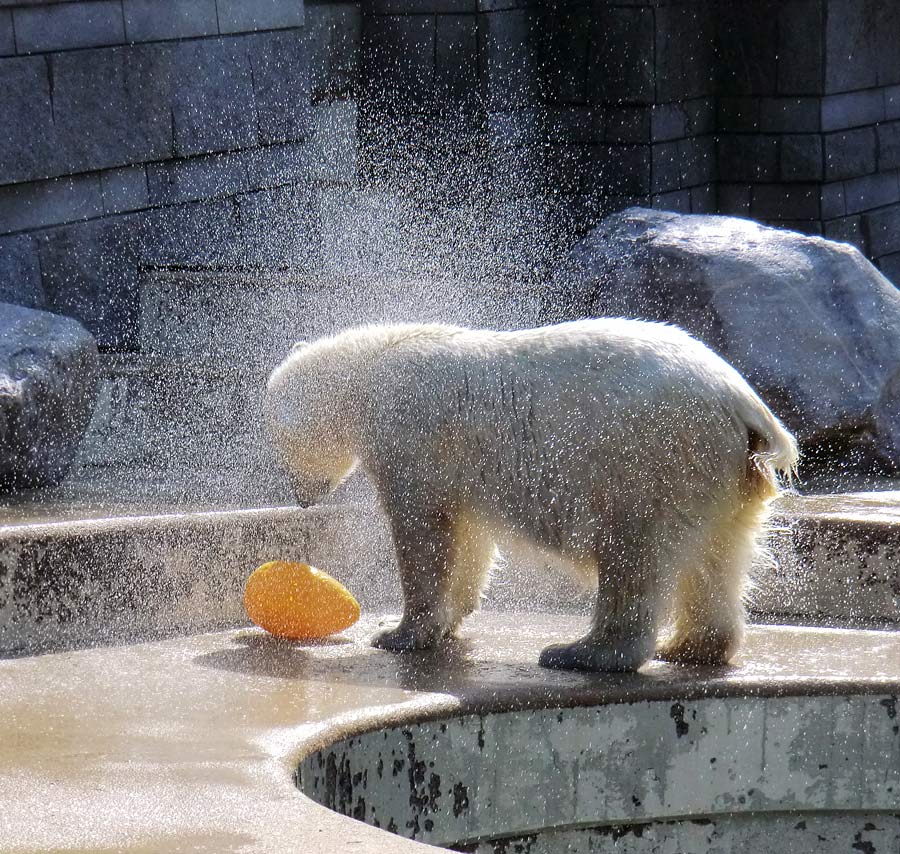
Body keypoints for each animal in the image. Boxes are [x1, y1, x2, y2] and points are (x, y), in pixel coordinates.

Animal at [264, 320, 800, 676]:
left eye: (278, 442)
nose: (300, 497)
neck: (372, 372)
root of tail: (745, 405)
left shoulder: (412, 436)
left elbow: (423, 530)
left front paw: (398, 633)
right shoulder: (462, 469)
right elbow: (469, 538)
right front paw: (448, 621)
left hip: (649, 457)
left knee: (633, 553)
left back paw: (582, 652)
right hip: (719, 475)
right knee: (718, 557)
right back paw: (691, 646)